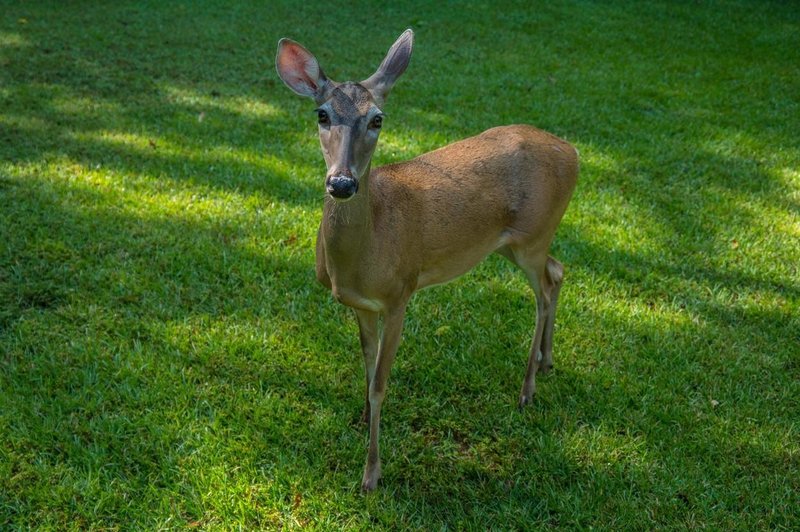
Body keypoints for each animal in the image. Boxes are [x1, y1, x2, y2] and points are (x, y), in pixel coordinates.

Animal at [278, 30, 580, 490]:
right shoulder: (360, 305)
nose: (342, 183)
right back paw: (546, 363)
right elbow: (366, 367)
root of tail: (575, 153)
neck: (362, 256)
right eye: (322, 114)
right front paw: (362, 420)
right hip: (516, 243)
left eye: (378, 119)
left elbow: (381, 383)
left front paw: (371, 473)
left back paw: (526, 390)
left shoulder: (400, 292)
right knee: (558, 270)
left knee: (543, 293)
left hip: (534, 233)